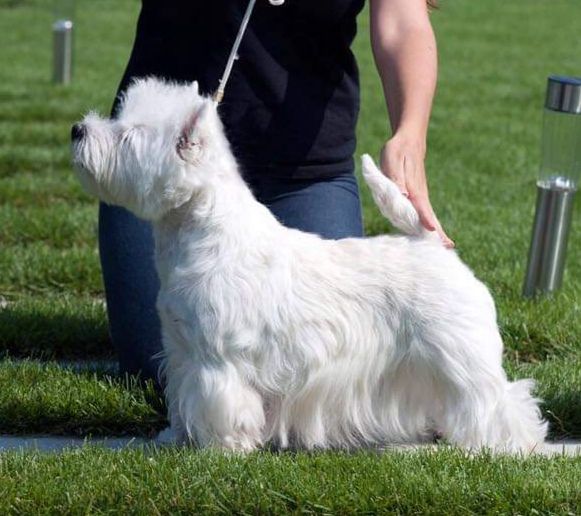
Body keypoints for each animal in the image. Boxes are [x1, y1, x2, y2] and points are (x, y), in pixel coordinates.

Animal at [71, 76, 544, 452]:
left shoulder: (217, 360)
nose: (77, 129)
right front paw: (176, 437)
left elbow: (222, 404)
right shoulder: (182, 349)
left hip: (457, 353)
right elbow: (182, 398)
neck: (199, 232)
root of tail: (431, 244)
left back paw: (510, 446)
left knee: (499, 399)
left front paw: (222, 449)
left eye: (129, 135)